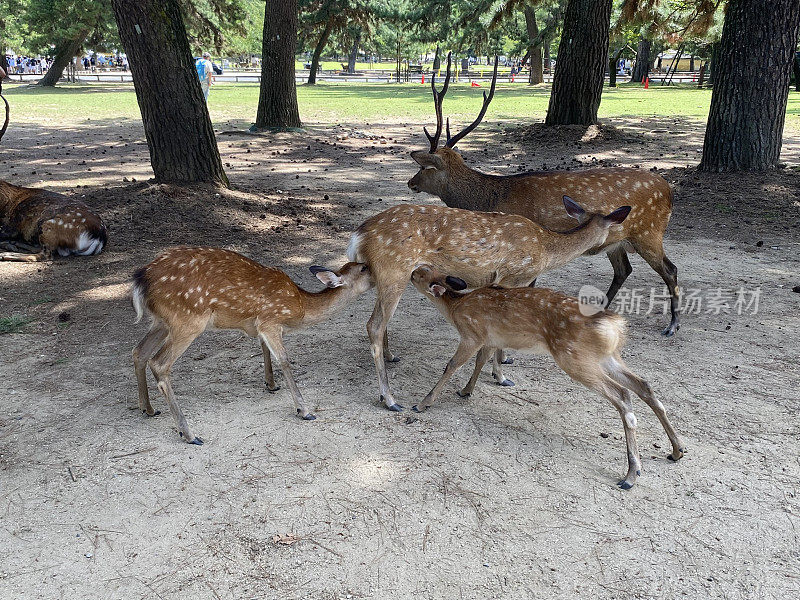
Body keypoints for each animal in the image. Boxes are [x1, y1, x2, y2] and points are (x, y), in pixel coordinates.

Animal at [134, 246, 376, 442]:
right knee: (159, 363)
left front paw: (271, 384)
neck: (301, 307)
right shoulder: (271, 320)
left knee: (139, 352)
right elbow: (284, 359)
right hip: (188, 320)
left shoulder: (260, 325)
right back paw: (189, 433)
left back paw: (148, 409)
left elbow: (264, 349)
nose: (377, 271)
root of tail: (140, 280)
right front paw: (304, 410)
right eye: (364, 268)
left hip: (162, 322)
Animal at [348, 197, 632, 412]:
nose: (610, 248)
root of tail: (357, 235)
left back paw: (391, 356)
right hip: (394, 269)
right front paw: (501, 375)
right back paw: (390, 399)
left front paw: (501, 367)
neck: (545, 250)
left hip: (379, 275)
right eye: (613, 228)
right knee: (374, 324)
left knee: (379, 320)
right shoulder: (512, 276)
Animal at [410, 51, 680, 338]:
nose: (411, 183)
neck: (492, 196)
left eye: (424, 167)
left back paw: (672, 325)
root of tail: (668, 190)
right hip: (617, 239)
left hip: (649, 233)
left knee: (670, 269)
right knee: (623, 269)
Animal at [410, 264, 684, 490]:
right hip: (607, 357)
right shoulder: (491, 339)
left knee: (622, 395)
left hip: (574, 358)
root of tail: (615, 327)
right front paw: (467, 390)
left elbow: (451, 365)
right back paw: (676, 450)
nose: (411, 271)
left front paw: (423, 403)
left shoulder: (472, 334)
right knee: (643, 385)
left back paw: (630, 475)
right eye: (424, 269)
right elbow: (481, 361)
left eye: (419, 274)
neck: (456, 308)